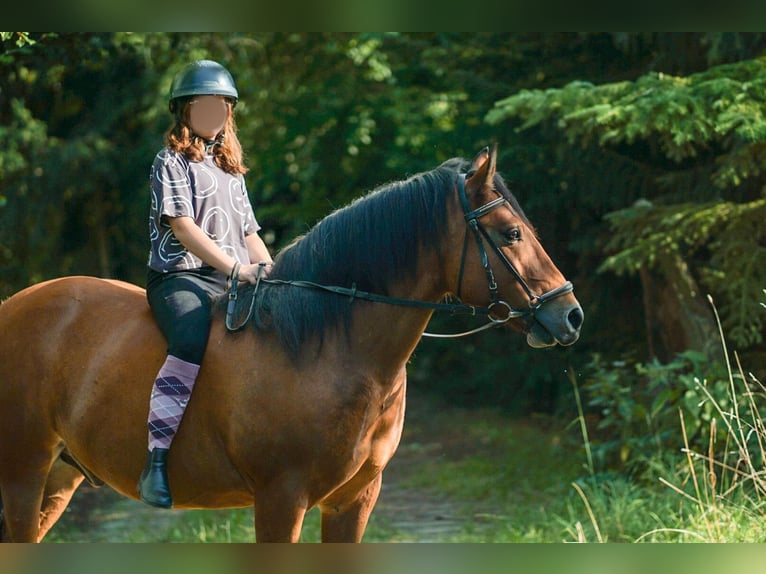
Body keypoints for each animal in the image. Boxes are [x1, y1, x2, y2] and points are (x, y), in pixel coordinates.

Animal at [0, 146, 584, 544]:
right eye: (511, 234)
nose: (569, 314)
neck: (325, 348)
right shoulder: (281, 499)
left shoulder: (353, 501)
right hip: (24, 470)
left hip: (58, 477)